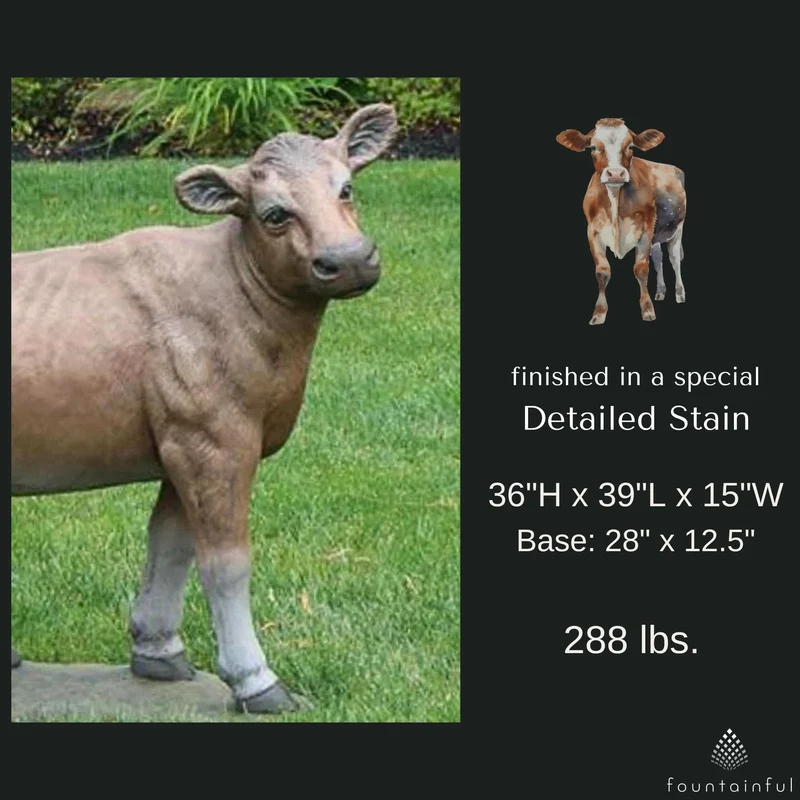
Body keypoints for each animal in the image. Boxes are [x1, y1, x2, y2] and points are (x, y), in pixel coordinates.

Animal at [11, 104, 398, 714]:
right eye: (273, 213)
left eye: (347, 188)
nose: (350, 260)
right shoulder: (213, 441)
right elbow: (226, 564)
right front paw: (255, 680)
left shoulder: (182, 445)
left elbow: (171, 545)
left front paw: (158, 651)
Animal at [556, 118, 687, 324]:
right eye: (593, 147)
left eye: (631, 146)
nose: (616, 173)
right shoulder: (592, 231)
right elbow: (602, 271)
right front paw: (599, 313)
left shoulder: (646, 229)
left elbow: (641, 269)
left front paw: (647, 309)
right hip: (657, 237)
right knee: (658, 259)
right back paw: (660, 292)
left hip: (677, 229)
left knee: (674, 260)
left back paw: (680, 294)